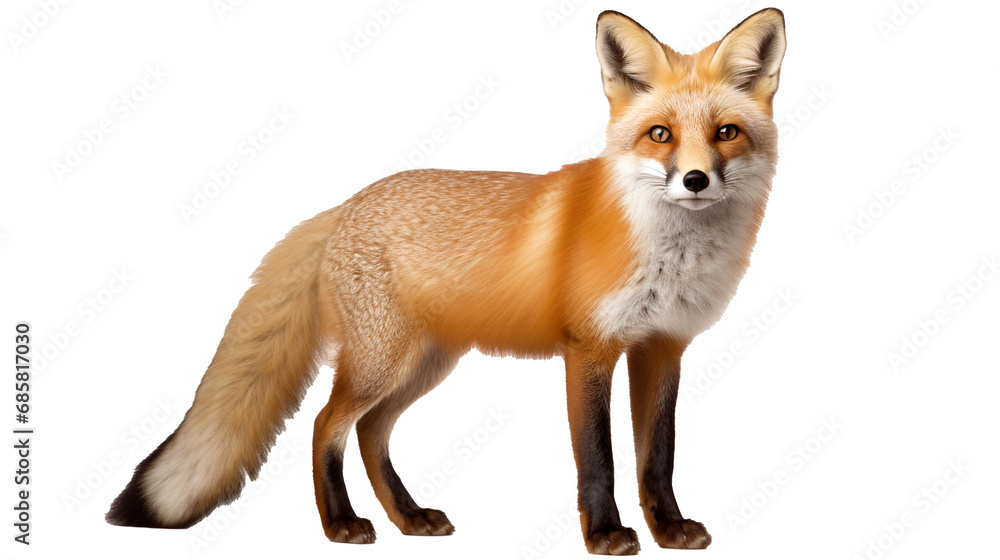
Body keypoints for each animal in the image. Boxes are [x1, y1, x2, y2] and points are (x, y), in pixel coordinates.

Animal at [107, 8, 786, 555]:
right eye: (660, 134)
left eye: (726, 133)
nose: (695, 180)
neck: (670, 258)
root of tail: (346, 205)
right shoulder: (589, 350)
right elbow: (600, 457)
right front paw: (604, 535)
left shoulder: (662, 347)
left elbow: (657, 457)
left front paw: (668, 531)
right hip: (382, 363)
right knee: (326, 425)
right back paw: (340, 525)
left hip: (424, 364)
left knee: (370, 433)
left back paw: (408, 519)